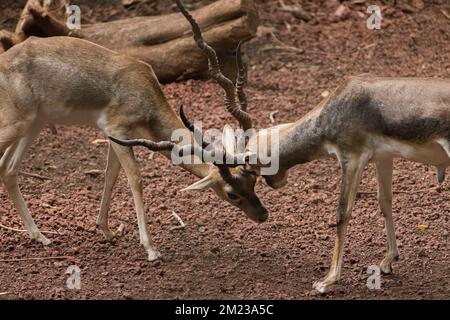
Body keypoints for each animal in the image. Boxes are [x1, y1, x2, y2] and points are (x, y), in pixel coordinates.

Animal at [0, 1, 268, 264]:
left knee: (8, 169)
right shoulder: (117, 131)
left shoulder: (116, 137)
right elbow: (135, 180)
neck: (143, 92)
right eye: (232, 194)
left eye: (253, 179)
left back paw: (41, 236)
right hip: (17, 126)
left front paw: (106, 230)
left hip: (33, 125)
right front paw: (150, 249)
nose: (263, 215)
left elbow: (110, 176)